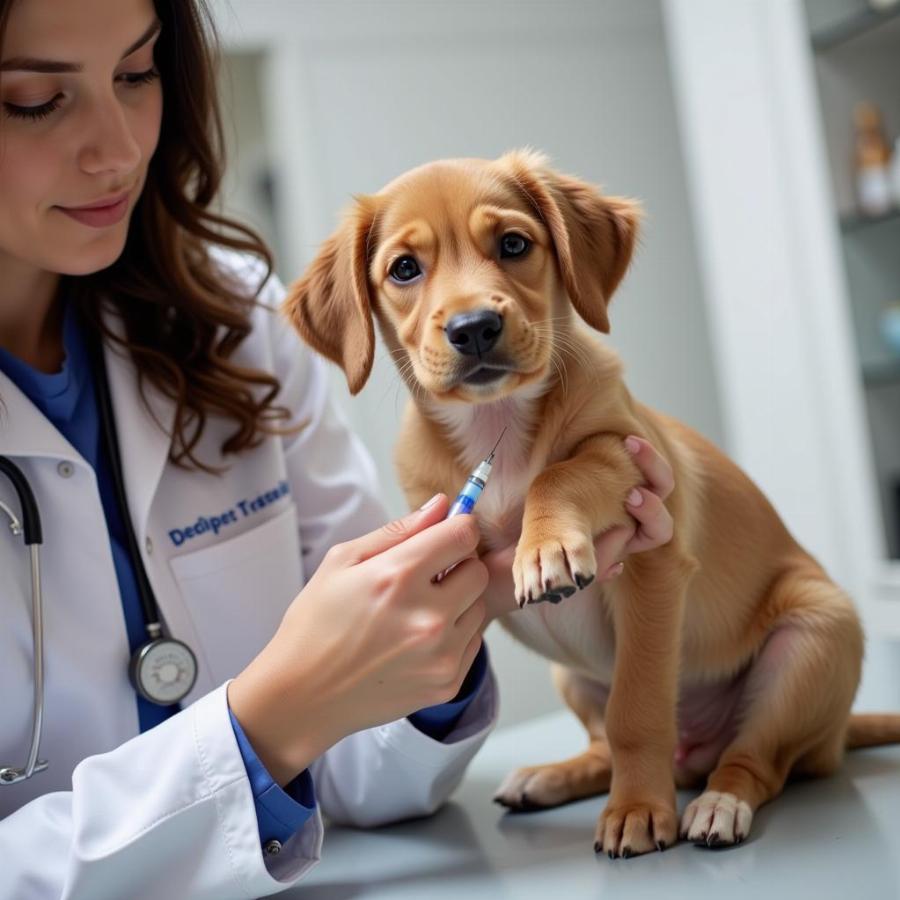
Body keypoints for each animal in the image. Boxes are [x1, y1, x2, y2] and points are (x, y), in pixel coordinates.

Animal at [284, 149, 900, 856]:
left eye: (514, 244)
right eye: (404, 269)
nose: (474, 328)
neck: (498, 424)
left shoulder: (643, 516)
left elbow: (635, 702)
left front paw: (636, 811)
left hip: (814, 640)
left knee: (756, 760)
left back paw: (718, 803)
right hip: (573, 677)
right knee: (605, 744)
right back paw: (553, 776)